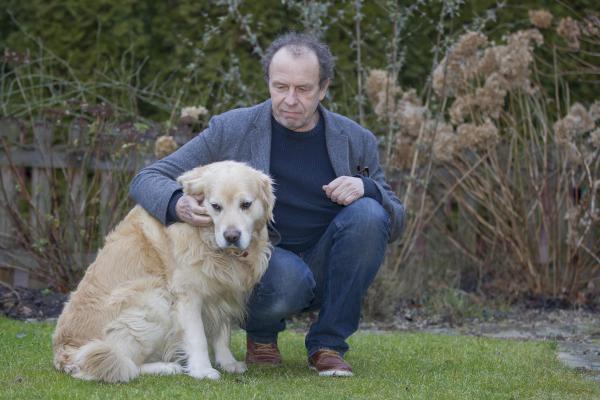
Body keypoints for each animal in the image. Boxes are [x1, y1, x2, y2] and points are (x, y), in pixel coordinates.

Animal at [52, 160, 274, 383]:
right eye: (215, 206)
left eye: (246, 204)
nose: (231, 236)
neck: (207, 240)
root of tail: (64, 353)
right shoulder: (187, 294)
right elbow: (198, 337)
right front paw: (202, 370)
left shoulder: (223, 289)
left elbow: (222, 333)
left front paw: (227, 362)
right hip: (154, 300)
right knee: (126, 365)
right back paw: (166, 367)